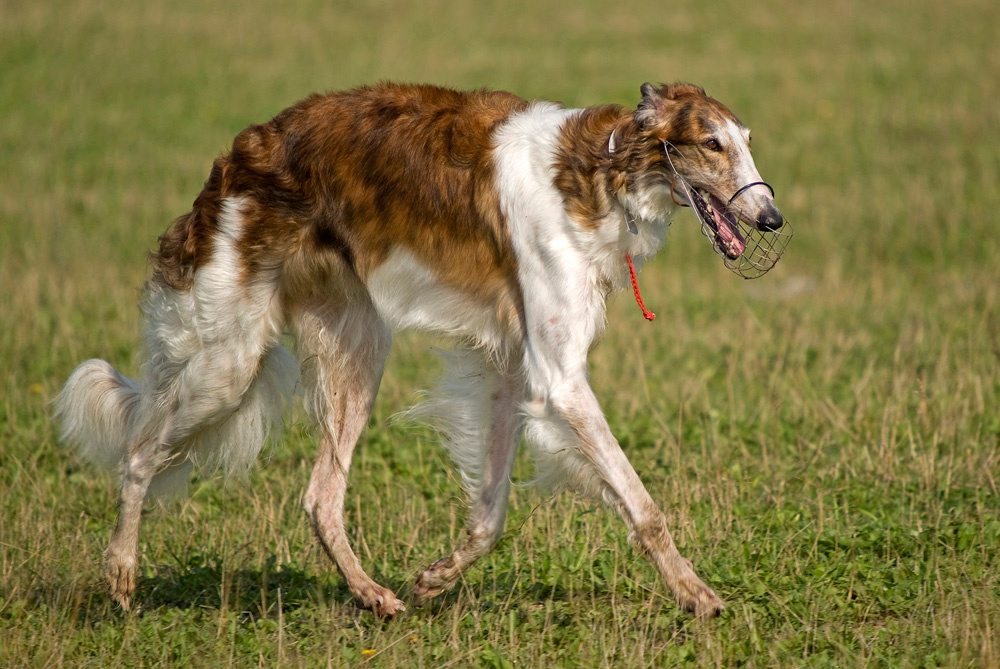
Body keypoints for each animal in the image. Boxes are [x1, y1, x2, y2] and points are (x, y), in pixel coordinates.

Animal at [58, 82, 784, 616]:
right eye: (712, 143)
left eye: (747, 143)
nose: (773, 218)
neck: (598, 172)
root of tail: (238, 154)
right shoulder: (560, 380)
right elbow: (643, 506)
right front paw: (697, 594)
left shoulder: (511, 371)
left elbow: (490, 515)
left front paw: (435, 577)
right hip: (230, 360)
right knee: (139, 452)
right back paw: (121, 576)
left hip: (354, 352)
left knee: (319, 497)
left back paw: (373, 595)